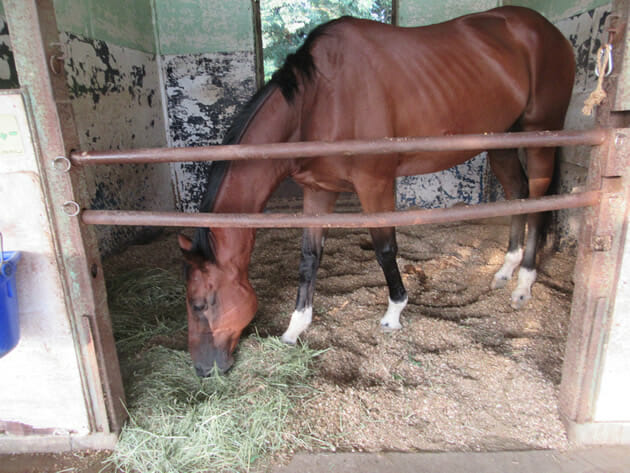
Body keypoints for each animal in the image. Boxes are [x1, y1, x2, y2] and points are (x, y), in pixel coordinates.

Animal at [178, 6, 576, 376]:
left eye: (201, 304)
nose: (202, 369)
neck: (320, 99)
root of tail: (546, 30)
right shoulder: (317, 191)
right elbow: (309, 257)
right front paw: (295, 328)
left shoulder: (375, 185)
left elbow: (385, 249)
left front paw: (394, 312)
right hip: (502, 141)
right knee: (518, 194)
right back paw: (506, 269)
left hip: (541, 132)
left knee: (539, 200)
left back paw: (524, 283)